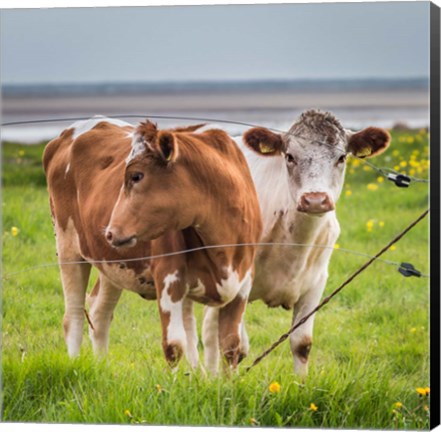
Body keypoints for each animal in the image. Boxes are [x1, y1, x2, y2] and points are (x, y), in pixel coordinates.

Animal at [42, 117, 262, 372]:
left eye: (136, 176)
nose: (109, 231)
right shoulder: (169, 275)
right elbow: (174, 345)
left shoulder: (243, 282)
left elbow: (231, 346)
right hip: (68, 247)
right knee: (73, 317)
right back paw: (75, 364)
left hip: (111, 263)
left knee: (99, 313)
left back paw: (102, 367)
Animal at [225, 109, 390, 376]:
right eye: (289, 156)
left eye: (341, 157)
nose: (315, 199)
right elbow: (233, 345)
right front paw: (225, 384)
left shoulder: (316, 282)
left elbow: (301, 343)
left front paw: (300, 384)